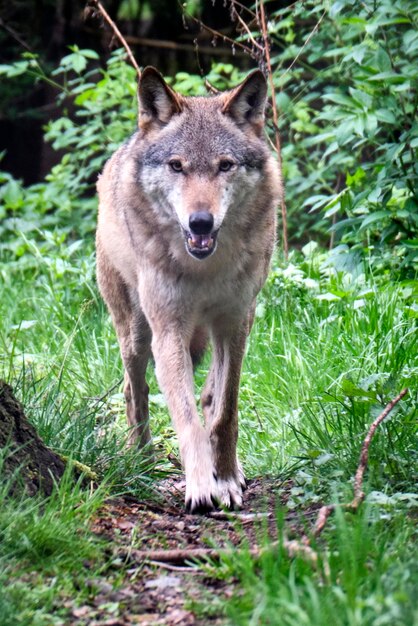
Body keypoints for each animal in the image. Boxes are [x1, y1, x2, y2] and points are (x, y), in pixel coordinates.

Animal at [95, 67, 280, 512]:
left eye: (225, 165)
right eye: (177, 166)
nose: (200, 222)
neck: (206, 269)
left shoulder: (235, 322)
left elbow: (225, 411)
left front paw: (226, 479)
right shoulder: (169, 332)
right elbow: (186, 417)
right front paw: (200, 487)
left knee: (211, 393)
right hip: (137, 335)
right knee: (134, 390)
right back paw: (141, 461)